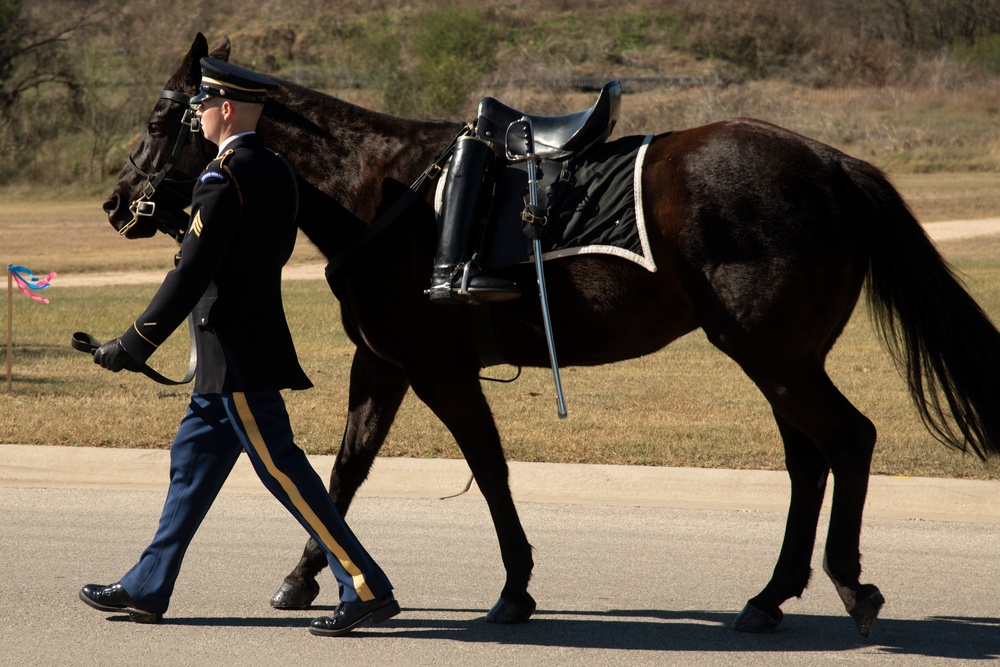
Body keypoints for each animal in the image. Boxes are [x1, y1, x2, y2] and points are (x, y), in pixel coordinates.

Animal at [103, 35, 1000, 636]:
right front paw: (308, 580)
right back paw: (770, 594)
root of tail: (830, 161)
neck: (386, 194)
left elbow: (488, 470)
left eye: (161, 114)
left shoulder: (439, 369)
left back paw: (850, 585)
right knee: (810, 458)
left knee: (846, 440)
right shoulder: (383, 363)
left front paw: (514, 588)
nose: (117, 201)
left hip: (775, 355)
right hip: (781, 359)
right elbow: (343, 470)